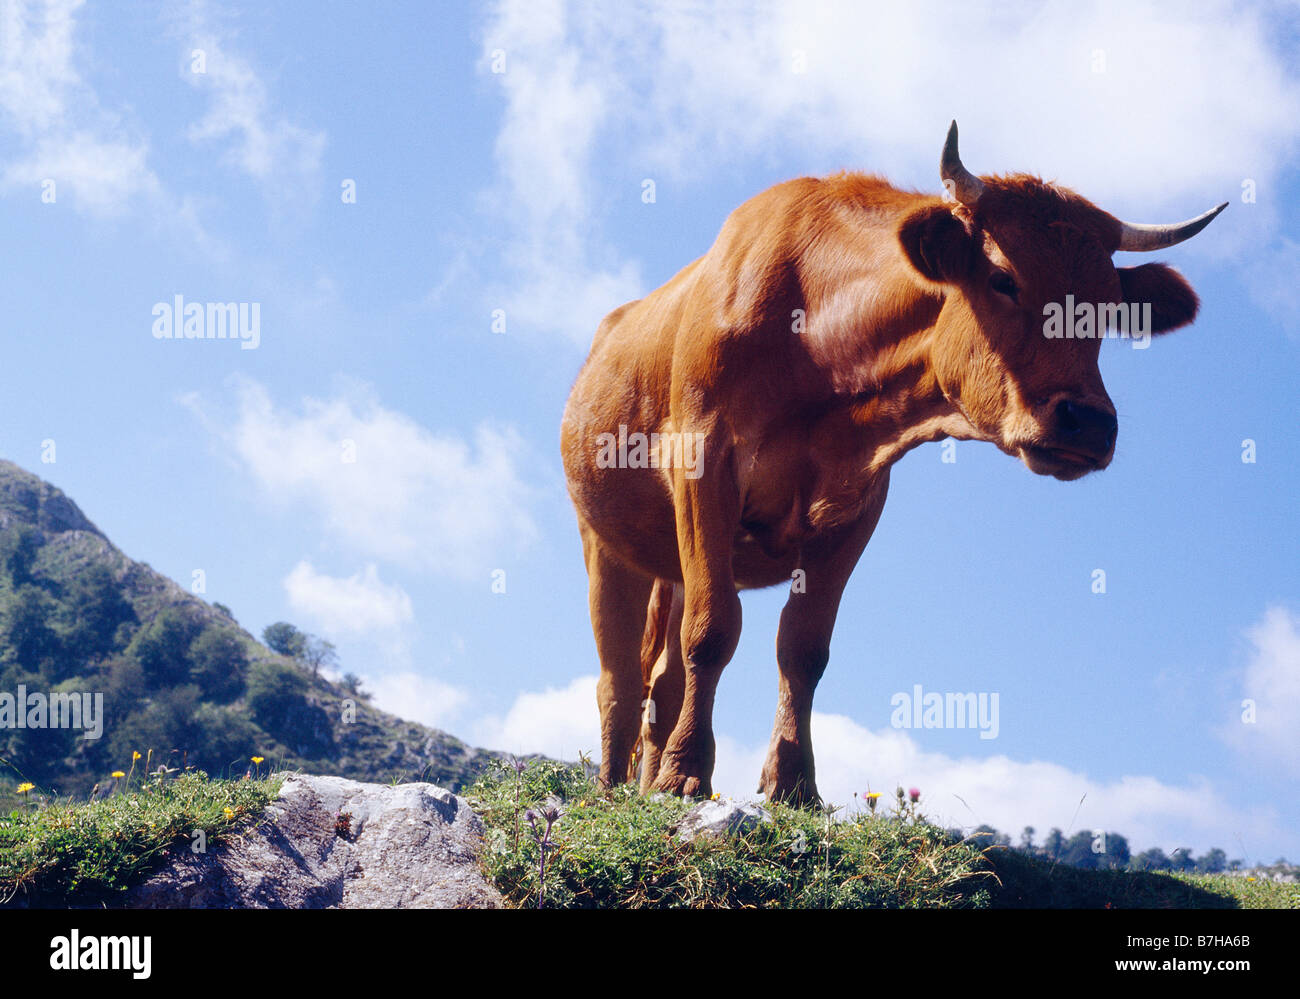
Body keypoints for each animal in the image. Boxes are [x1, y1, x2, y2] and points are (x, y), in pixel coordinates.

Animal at [560, 122, 1225, 805]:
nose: (1089, 422)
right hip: (604, 543)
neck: (820, 353)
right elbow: (713, 628)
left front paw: (794, 785)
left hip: (668, 564)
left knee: (660, 680)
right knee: (619, 681)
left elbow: (803, 649)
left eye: (1112, 307)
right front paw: (686, 774)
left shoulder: (856, 507)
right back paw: (610, 791)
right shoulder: (704, 463)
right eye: (1003, 278)